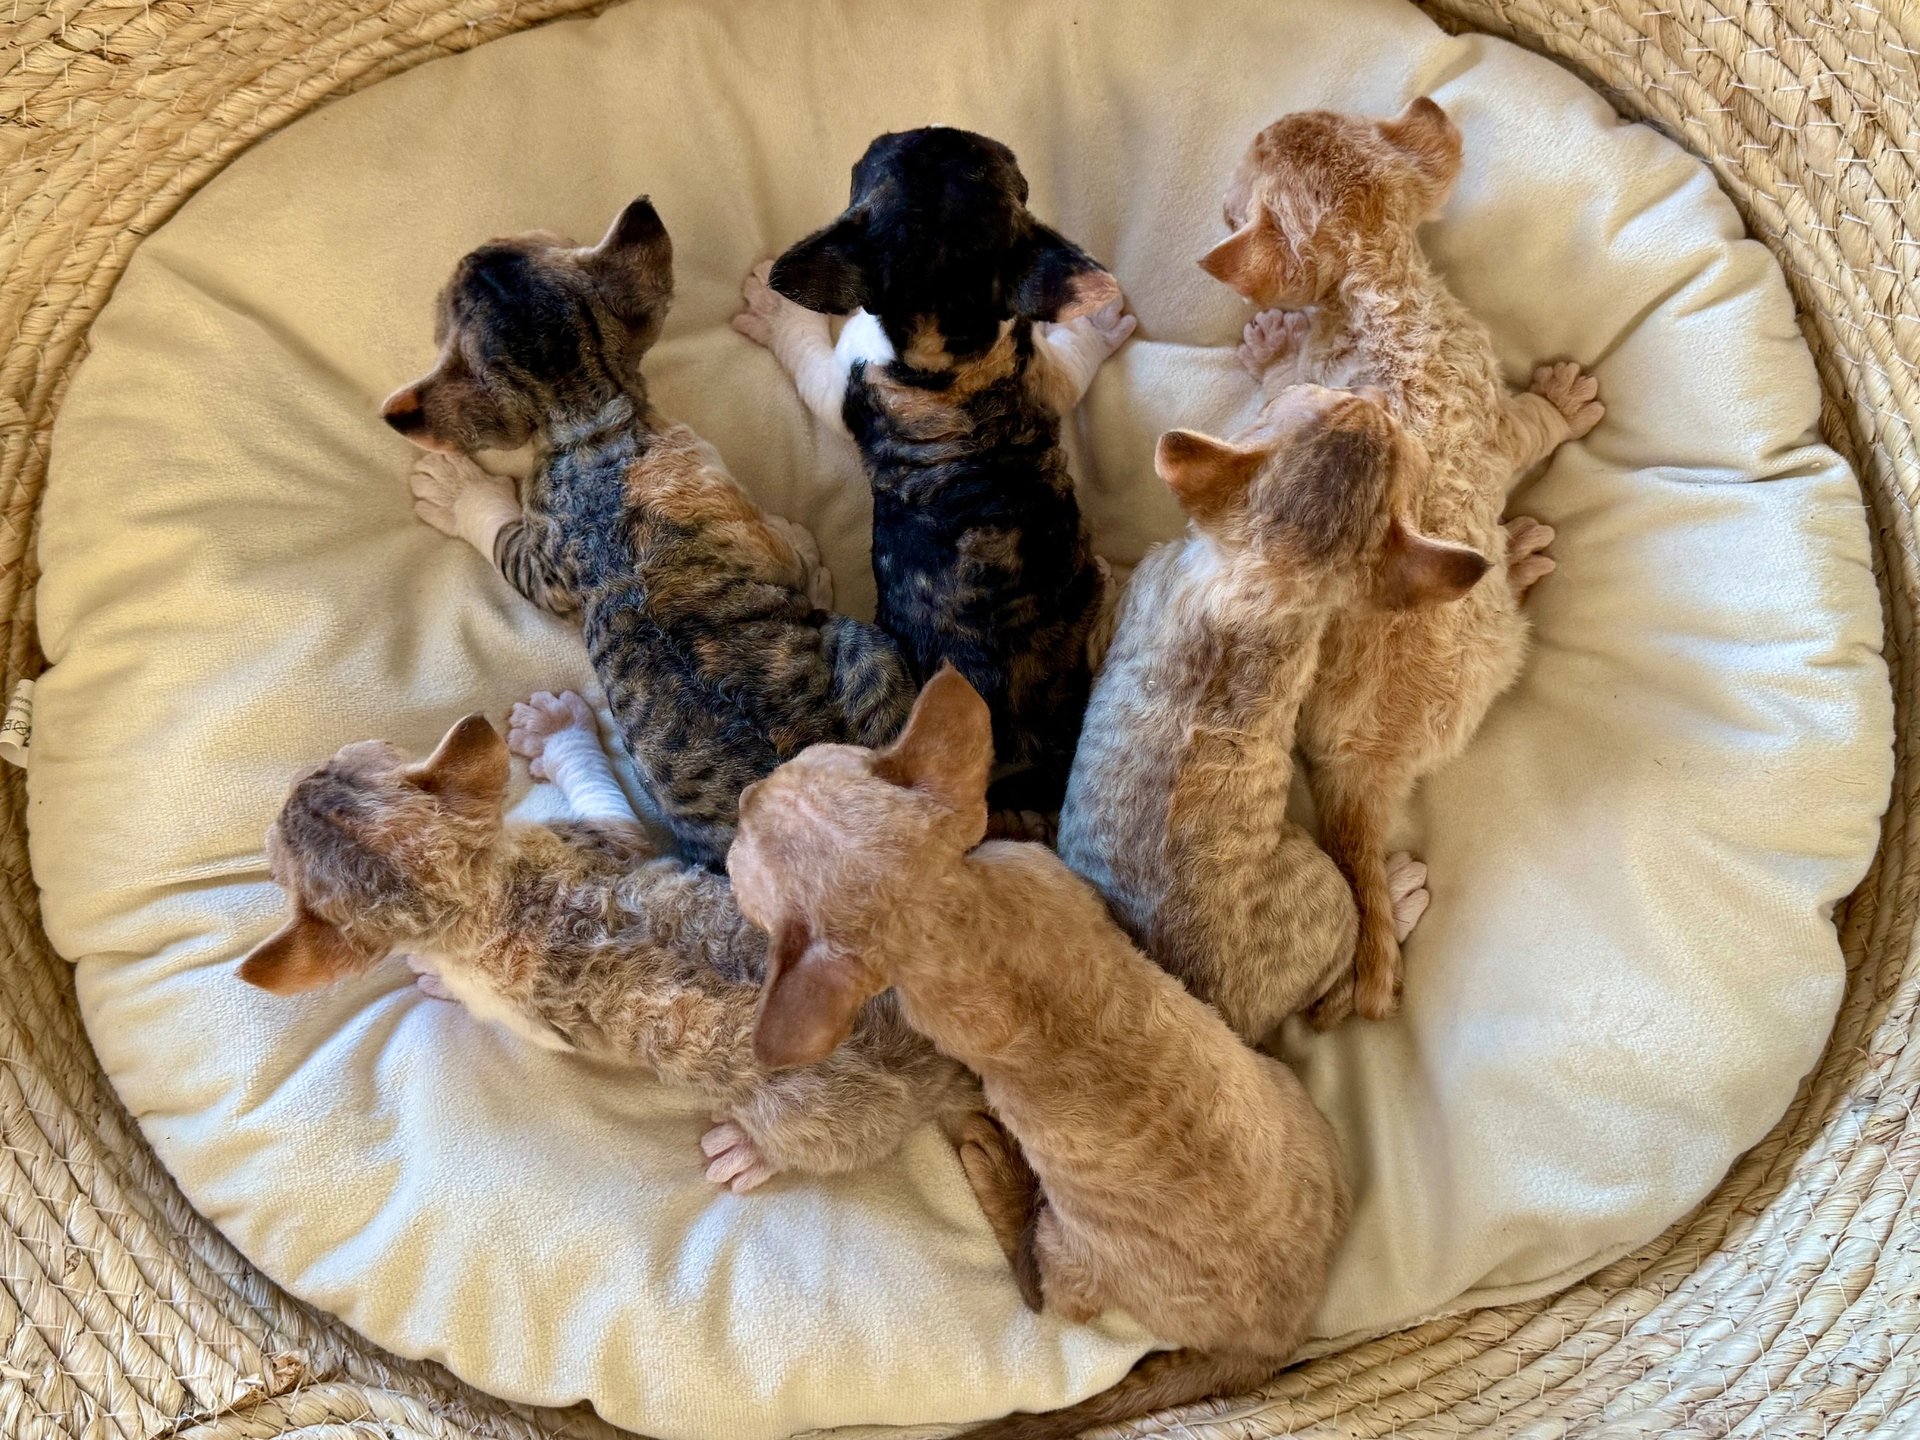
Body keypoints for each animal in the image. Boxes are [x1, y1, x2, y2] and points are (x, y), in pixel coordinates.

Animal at [382, 197, 913, 875]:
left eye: (527, 239)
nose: (475, 248)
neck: (586, 423)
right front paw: (457, 488)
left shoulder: (551, 562)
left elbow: (506, 539)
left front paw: (457, 488)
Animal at [725, 672, 1344, 1436]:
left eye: (746, 827)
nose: (744, 794)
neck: (953, 917)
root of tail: (1283, 1339)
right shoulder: (1048, 880)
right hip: (1291, 1095)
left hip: (1077, 1248)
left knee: (1041, 1292)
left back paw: (995, 1170)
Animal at [729, 129, 1121, 829]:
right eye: (1018, 178)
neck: (951, 343)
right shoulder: (1042, 377)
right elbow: (1073, 364)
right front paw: (1097, 325)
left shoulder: (843, 376)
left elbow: (806, 356)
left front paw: (775, 311)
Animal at [1198, 98, 1605, 1029]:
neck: (1380, 287)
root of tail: (1359, 758)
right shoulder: (1492, 413)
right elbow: (1533, 425)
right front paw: (1562, 406)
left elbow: (1280, 378)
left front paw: (1268, 343)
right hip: (1491, 642)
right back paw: (1518, 560)